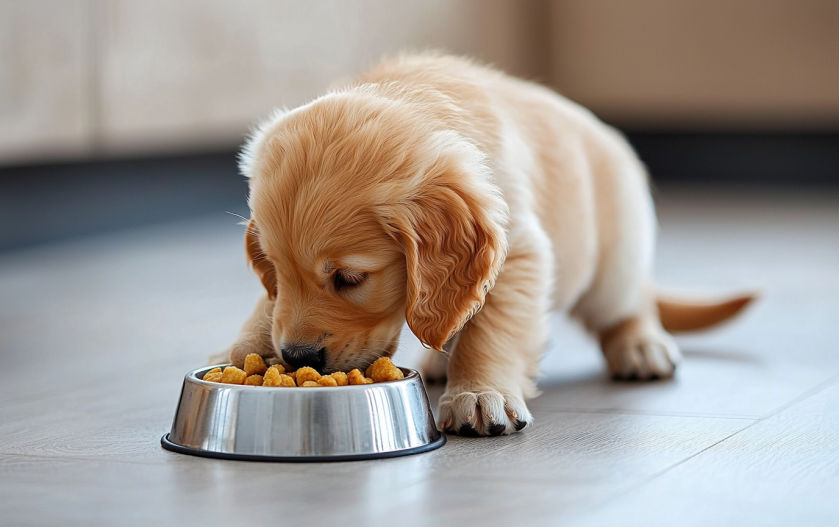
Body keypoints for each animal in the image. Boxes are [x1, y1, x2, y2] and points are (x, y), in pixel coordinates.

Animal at [218, 52, 756, 438]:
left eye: (350, 278)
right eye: (274, 270)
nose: (298, 357)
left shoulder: (516, 251)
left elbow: (492, 329)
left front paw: (478, 394)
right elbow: (268, 310)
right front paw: (244, 353)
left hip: (612, 258)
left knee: (630, 301)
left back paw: (641, 346)